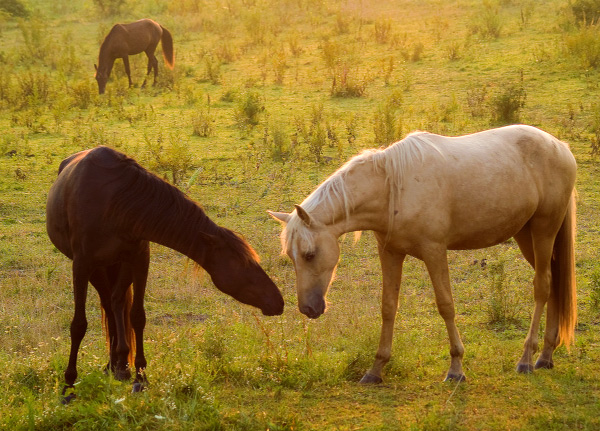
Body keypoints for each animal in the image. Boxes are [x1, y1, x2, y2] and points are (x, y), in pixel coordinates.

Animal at [44, 147, 284, 404]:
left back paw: (119, 365)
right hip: (97, 269)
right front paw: (69, 384)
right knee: (109, 304)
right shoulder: (82, 265)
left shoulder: (140, 260)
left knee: (115, 302)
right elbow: (79, 325)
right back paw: (112, 365)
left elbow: (137, 316)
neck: (115, 204)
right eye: (244, 266)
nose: (278, 301)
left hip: (118, 266)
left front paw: (140, 377)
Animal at [268, 125, 576, 384]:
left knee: (542, 286)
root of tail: (560, 146)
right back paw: (546, 356)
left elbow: (446, 305)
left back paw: (526, 358)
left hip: (544, 230)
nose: (308, 309)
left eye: (309, 254)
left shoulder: (434, 251)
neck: (393, 188)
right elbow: (388, 307)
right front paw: (376, 369)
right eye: (291, 257)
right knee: (554, 283)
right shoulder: (390, 253)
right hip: (527, 235)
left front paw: (456, 369)